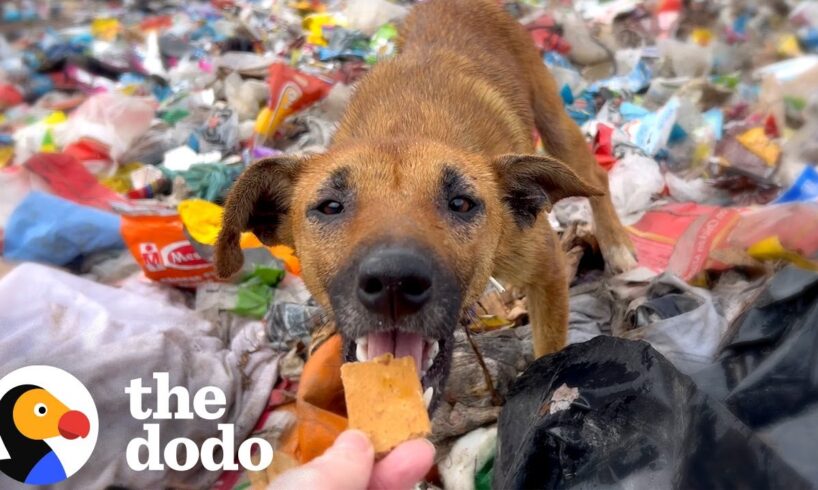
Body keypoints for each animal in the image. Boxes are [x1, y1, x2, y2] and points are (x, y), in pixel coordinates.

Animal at [214, 0, 636, 406]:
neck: (405, 125)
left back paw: (616, 244)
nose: (393, 283)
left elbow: (549, 348)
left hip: (552, 117)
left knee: (595, 175)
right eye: (330, 207)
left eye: (461, 203)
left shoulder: (545, 269)